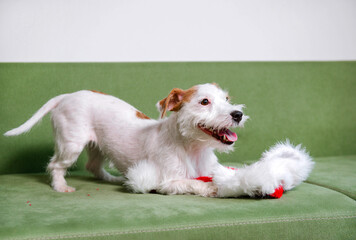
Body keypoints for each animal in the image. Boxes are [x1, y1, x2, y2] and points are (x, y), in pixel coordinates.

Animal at [4, 83, 312, 198]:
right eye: (204, 102)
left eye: (227, 99)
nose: (237, 114)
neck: (192, 148)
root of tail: (67, 96)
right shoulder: (168, 181)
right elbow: (191, 182)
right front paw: (213, 188)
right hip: (71, 144)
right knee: (55, 165)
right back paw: (60, 186)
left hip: (98, 145)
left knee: (93, 166)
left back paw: (115, 178)